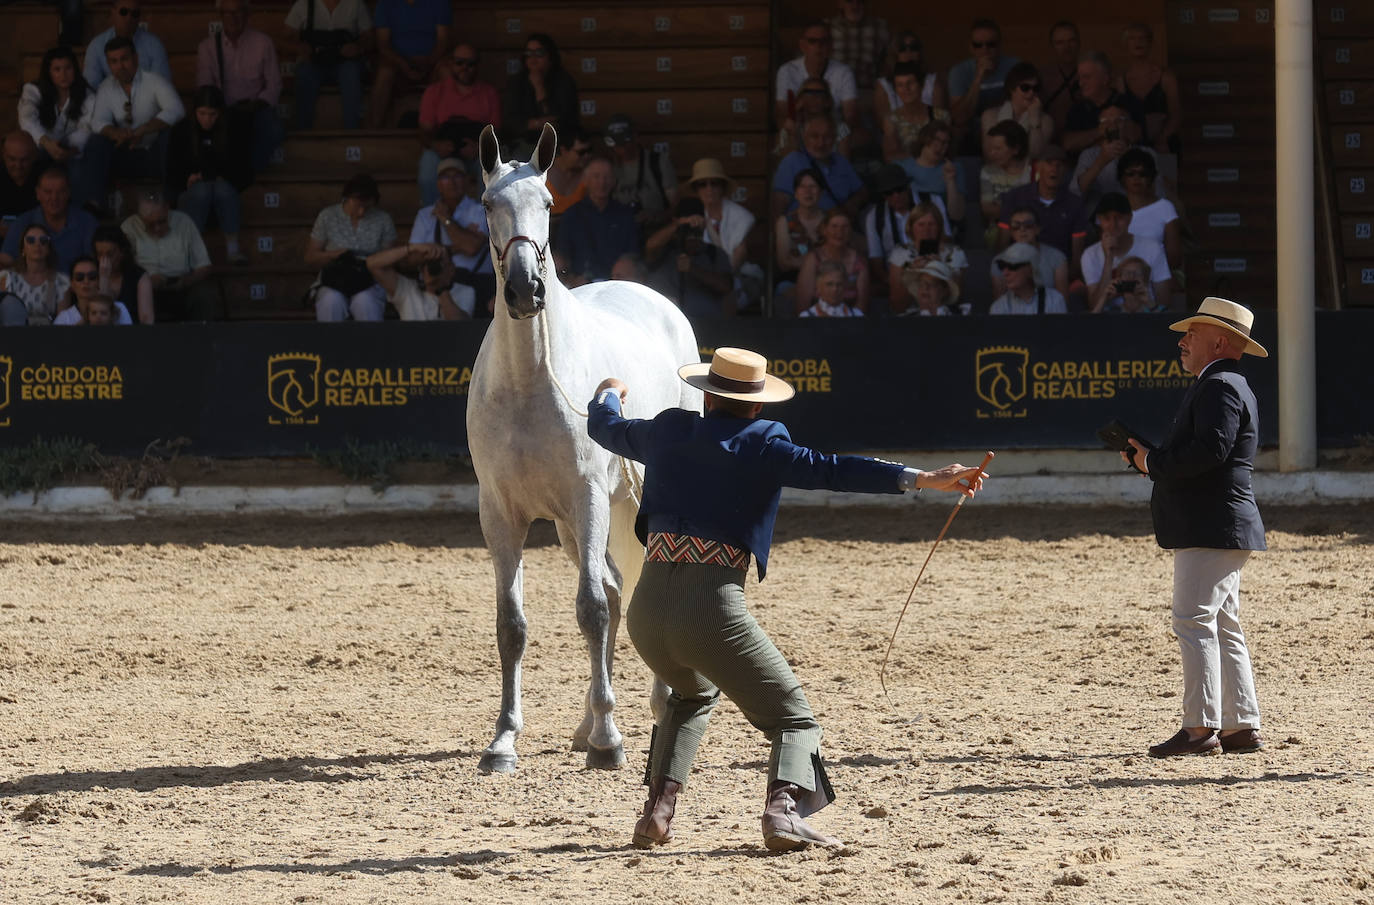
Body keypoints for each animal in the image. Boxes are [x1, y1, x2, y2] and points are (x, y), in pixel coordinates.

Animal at [467, 123, 702, 773]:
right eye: (488, 203)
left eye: (548, 203)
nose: (525, 289)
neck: (529, 383)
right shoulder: (501, 514)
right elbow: (512, 624)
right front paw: (504, 740)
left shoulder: (588, 496)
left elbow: (591, 610)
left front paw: (608, 743)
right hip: (576, 528)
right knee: (621, 591)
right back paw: (591, 721)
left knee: (636, 587)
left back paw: (660, 703)